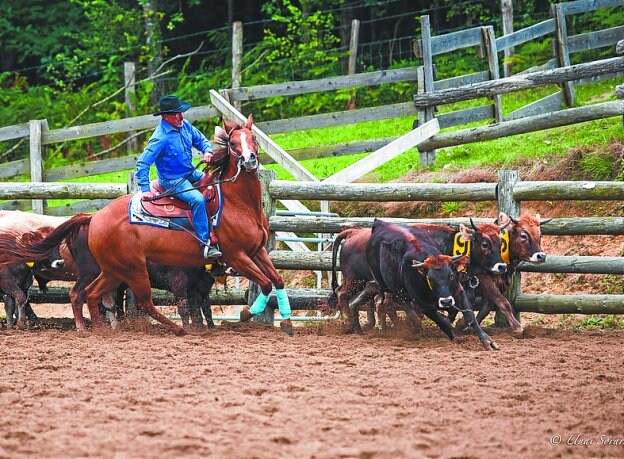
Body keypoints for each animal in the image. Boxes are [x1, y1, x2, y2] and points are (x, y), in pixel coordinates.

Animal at [0, 115, 292, 336]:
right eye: (232, 143)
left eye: (254, 139)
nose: (250, 160)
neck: (237, 203)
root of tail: (95, 218)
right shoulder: (237, 255)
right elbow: (265, 284)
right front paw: (246, 312)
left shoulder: (257, 251)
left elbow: (276, 280)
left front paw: (287, 323)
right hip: (132, 268)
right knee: (139, 301)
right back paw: (177, 329)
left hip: (113, 270)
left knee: (92, 295)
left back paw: (102, 330)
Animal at [364, 219, 500, 352]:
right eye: (430, 278)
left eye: (451, 275)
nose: (446, 302)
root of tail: (379, 223)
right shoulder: (423, 303)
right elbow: (443, 321)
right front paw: (454, 337)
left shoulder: (458, 290)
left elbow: (470, 316)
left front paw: (487, 341)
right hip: (387, 285)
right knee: (393, 302)